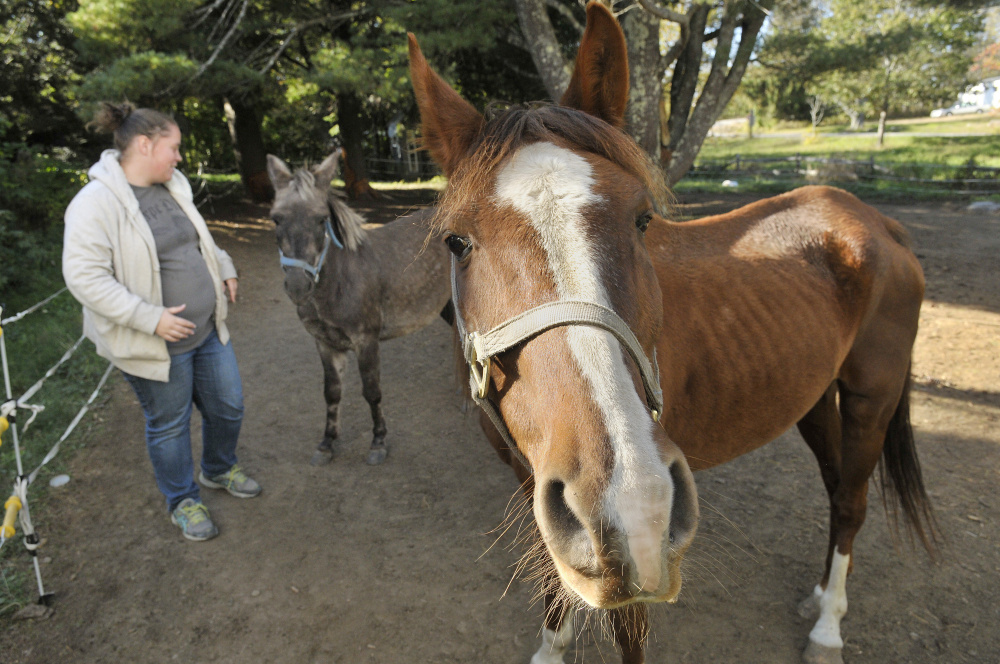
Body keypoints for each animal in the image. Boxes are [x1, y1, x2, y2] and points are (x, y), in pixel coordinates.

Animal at [268, 150, 452, 464]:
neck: (339, 280)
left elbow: (372, 391)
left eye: (321, 220)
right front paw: (327, 443)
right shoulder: (326, 343)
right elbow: (332, 393)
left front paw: (378, 441)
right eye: (276, 219)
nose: (297, 286)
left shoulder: (366, 340)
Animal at [408, 2, 936, 660]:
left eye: (642, 219)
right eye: (457, 241)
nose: (629, 505)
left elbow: (628, 632)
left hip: (872, 396)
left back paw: (827, 625)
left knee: (850, 501)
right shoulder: (543, 487)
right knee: (838, 483)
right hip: (813, 397)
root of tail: (876, 221)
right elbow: (556, 574)